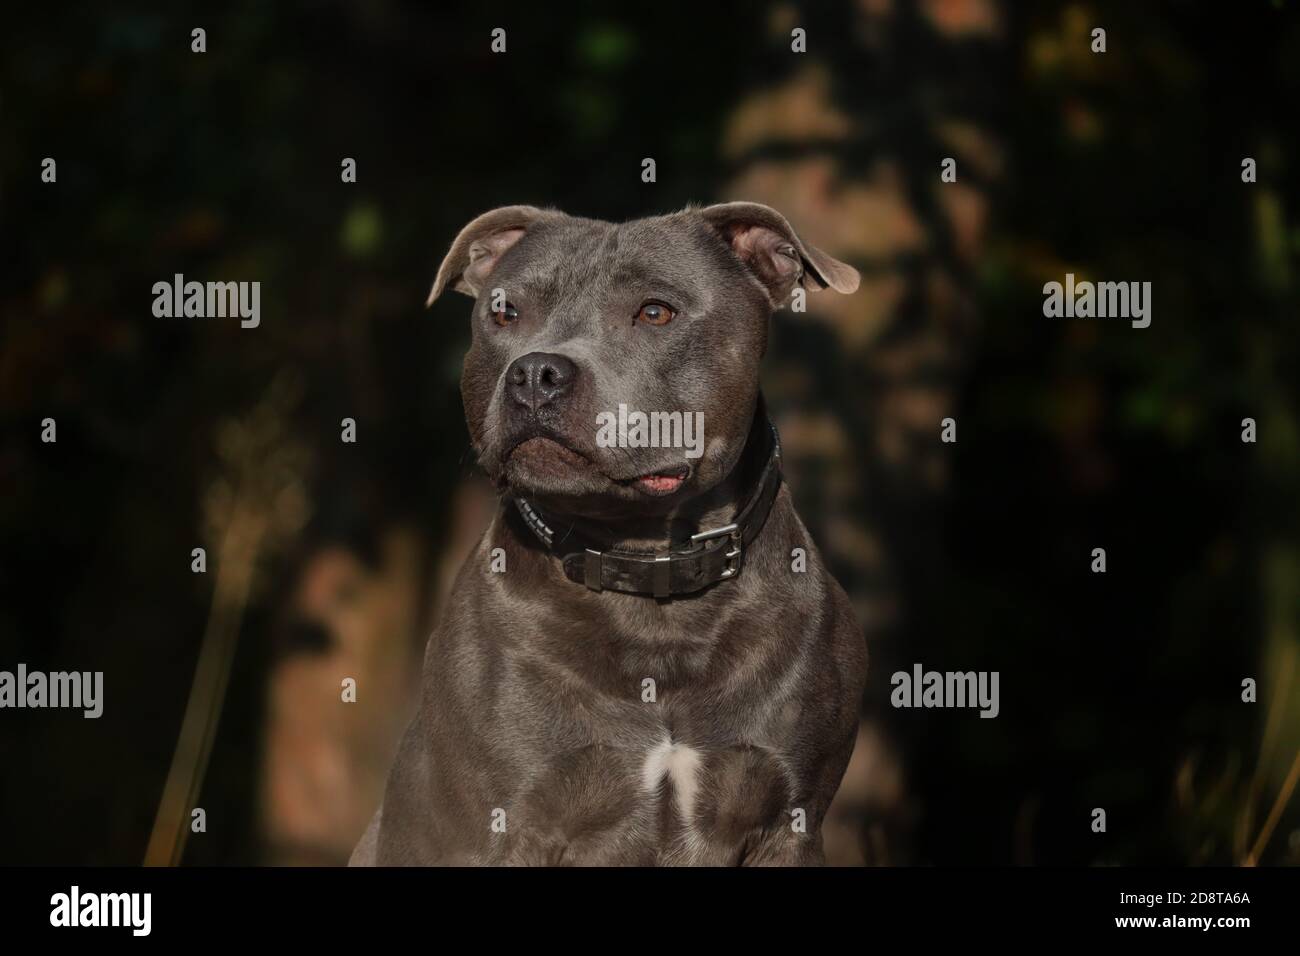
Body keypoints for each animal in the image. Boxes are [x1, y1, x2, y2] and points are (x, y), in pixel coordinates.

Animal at [351, 204, 868, 868]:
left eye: (655, 312)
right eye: (504, 313)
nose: (534, 372)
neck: (646, 573)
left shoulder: (789, 823)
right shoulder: (493, 828)